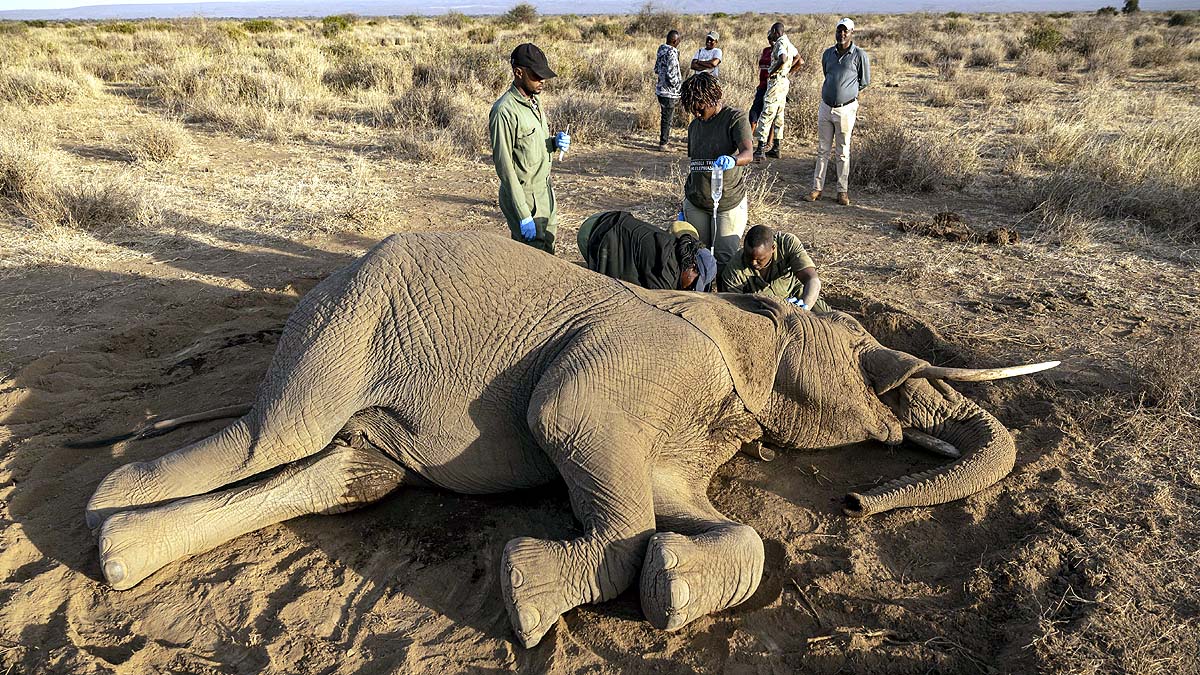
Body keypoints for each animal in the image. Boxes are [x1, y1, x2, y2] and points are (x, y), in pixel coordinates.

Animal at [83, 232, 1057, 648]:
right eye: (861, 351)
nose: (856, 498)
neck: (735, 315)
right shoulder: (643, 363)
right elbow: (566, 417)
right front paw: (526, 598)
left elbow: (703, 517)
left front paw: (672, 586)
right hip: (345, 321)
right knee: (269, 434)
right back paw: (104, 504)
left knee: (346, 474)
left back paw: (122, 554)